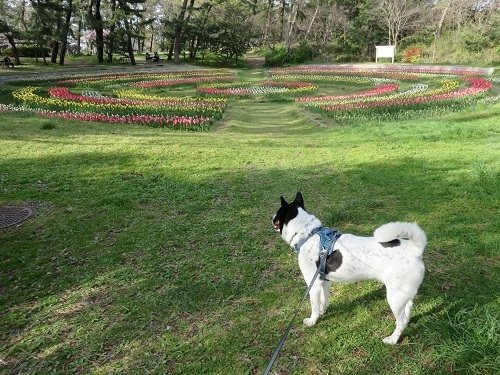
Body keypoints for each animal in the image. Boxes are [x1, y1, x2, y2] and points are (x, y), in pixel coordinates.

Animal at [272, 192, 428, 346]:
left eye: (278, 213)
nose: (271, 217)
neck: (308, 234)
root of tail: (414, 249)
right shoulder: (325, 280)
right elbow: (324, 299)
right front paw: (323, 310)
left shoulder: (313, 283)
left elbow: (314, 305)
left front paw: (312, 320)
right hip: (404, 294)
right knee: (408, 310)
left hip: (395, 297)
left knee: (401, 321)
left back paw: (392, 339)